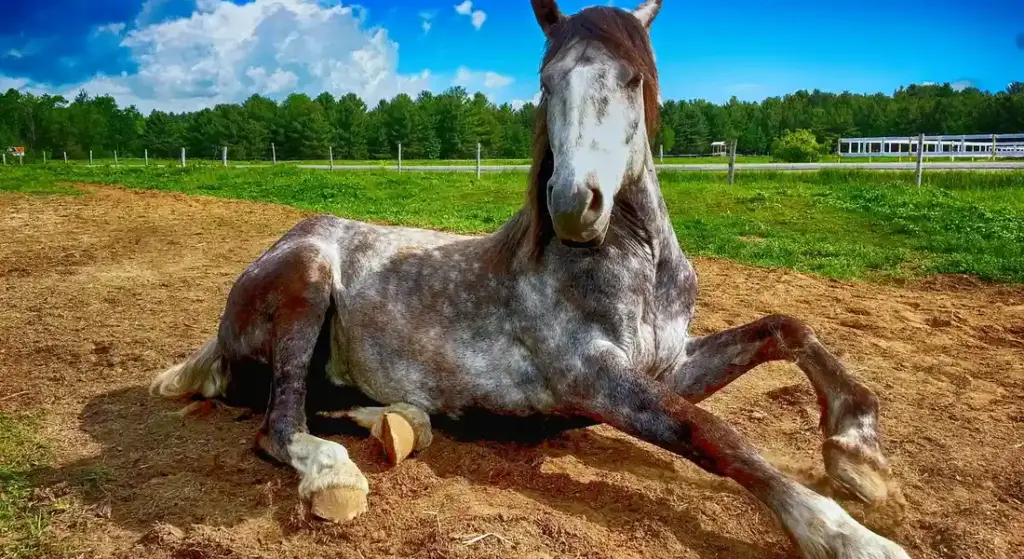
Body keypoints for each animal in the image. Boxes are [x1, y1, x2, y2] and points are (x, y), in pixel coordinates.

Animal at [151, 1, 910, 557]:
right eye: (547, 84)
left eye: (632, 78)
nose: (574, 204)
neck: (634, 268)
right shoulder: (593, 379)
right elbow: (715, 434)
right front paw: (846, 535)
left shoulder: (668, 364)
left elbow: (787, 328)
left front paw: (857, 452)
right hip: (306, 281)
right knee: (279, 422)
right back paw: (336, 472)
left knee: (324, 403)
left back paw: (401, 422)